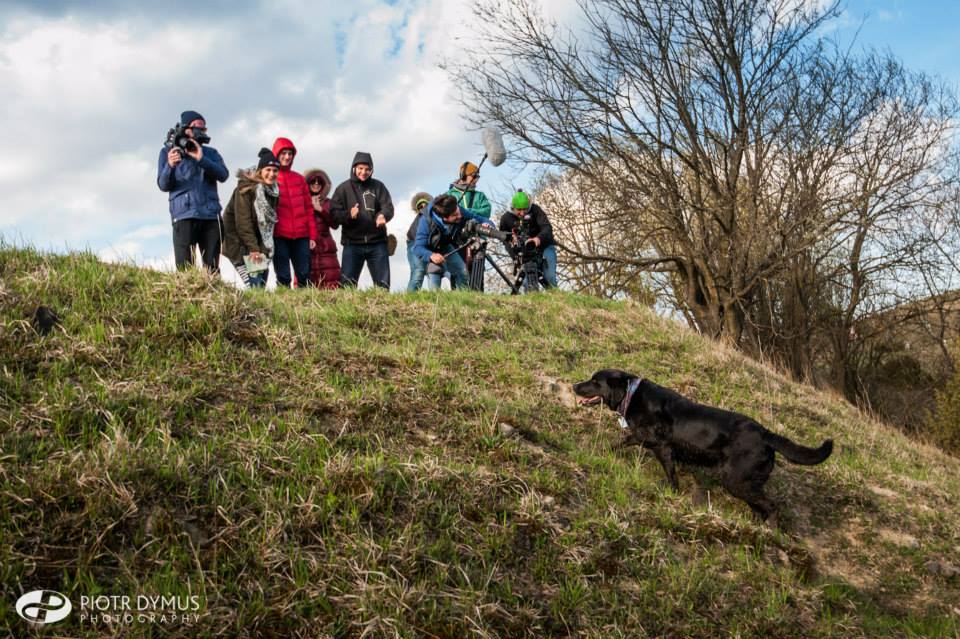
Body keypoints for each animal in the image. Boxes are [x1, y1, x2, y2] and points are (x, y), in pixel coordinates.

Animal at [568, 370, 832, 524]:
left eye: (595, 382)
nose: (573, 386)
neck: (631, 394)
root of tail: (767, 435)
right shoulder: (649, 440)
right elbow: (624, 441)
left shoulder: (659, 445)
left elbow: (667, 470)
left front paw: (672, 494)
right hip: (746, 484)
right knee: (761, 506)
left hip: (737, 481)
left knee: (772, 506)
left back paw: (770, 531)